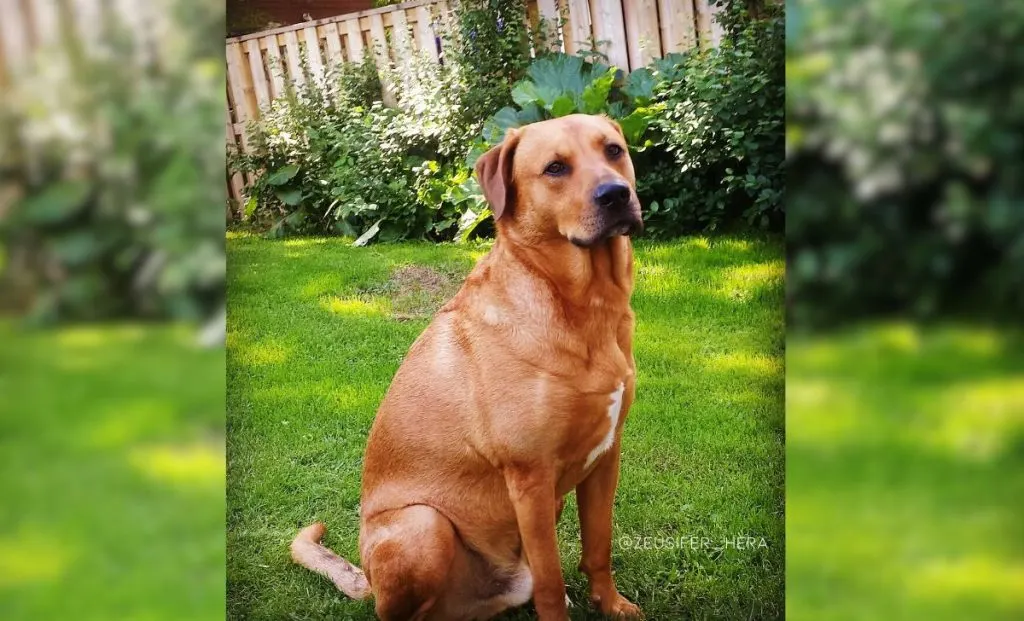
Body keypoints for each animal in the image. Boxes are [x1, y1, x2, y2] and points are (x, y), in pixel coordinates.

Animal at [290, 114, 638, 618]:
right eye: (555, 168)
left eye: (613, 151)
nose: (616, 194)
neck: (585, 306)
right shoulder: (530, 478)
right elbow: (552, 582)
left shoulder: (606, 456)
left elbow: (599, 547)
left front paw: (611, 604)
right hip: (423, 525)